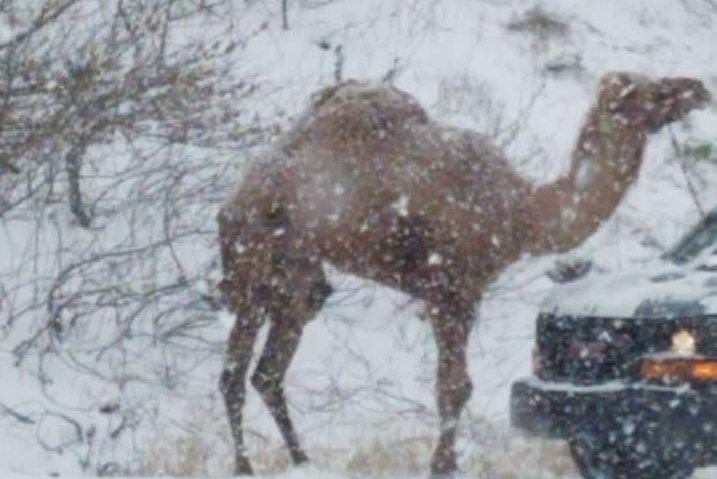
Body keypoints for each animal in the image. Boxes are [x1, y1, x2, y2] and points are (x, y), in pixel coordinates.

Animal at [217, 72, 710, 477]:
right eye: (653, 90)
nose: (700, 89)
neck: (520, 213)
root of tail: (235, 194)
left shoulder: (464, 291)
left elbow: (458, 387)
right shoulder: (451, 287)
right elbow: (454, 387)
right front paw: (443, 466)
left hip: (298, 277)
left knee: (269, 371)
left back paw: (303, 460)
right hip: (252, 256)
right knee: (234, 373)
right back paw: (244, 467)